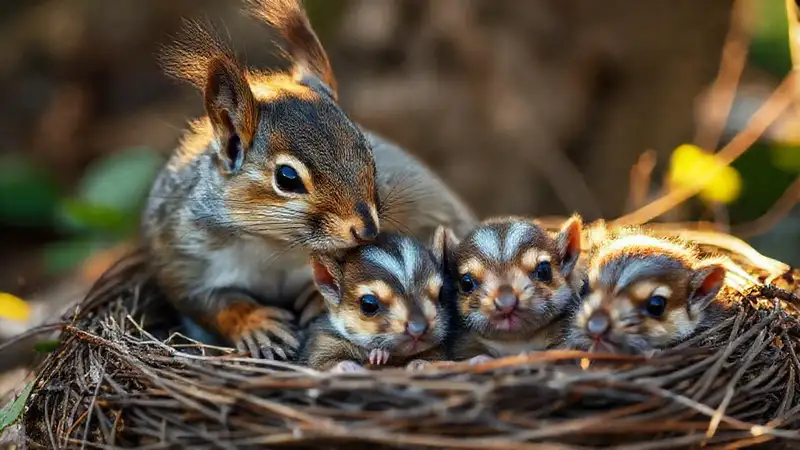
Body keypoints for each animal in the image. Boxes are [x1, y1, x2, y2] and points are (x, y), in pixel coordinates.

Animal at [299, 229, 454, 373]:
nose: (418, 329)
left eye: (441, 294)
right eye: (368, 304)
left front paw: (419, 364)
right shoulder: (322, 345)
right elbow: (325, 364)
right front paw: (371, 357)